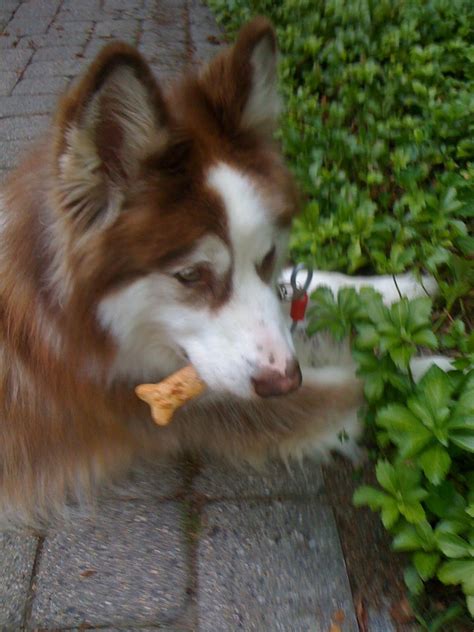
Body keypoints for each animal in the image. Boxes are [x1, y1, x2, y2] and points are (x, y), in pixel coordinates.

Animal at [0, 17, 444, 524]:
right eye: (190, 276)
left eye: (267, 257)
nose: (285, 380)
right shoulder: (178, 409)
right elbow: (365, 382)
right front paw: (437, 370)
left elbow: (302, 285)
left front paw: (401, 287)